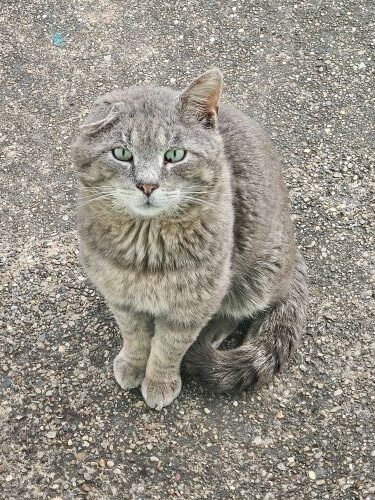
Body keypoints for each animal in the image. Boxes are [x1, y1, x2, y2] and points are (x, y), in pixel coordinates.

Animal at [72, 69, 308, 410]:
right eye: (122, 154)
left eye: (174, 155)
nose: (147, 185)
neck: (147, 244)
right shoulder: (120, 296)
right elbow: (134, 336)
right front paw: (132, 364)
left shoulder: (192, 305)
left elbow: (168, 348)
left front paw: (159, 381)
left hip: (253, 278)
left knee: (230, 315)